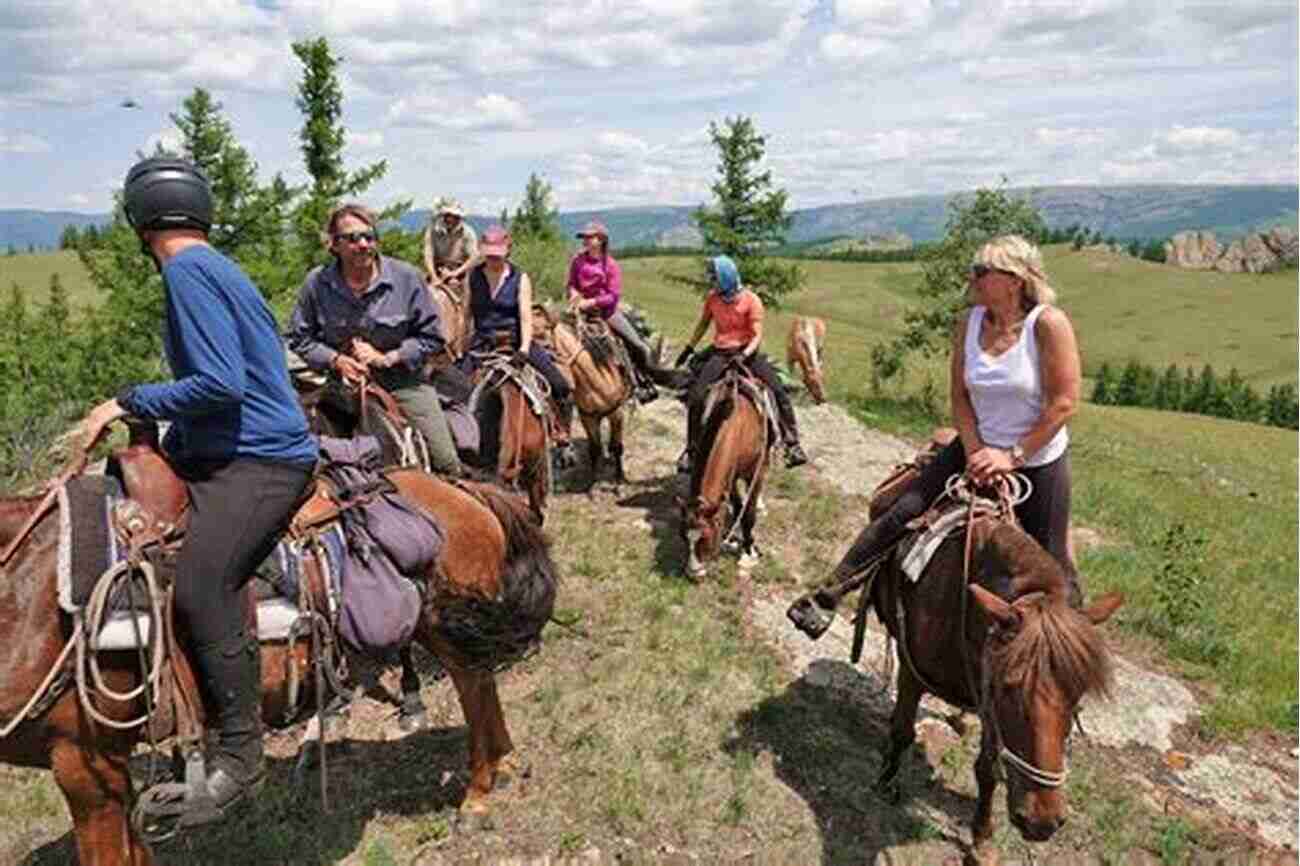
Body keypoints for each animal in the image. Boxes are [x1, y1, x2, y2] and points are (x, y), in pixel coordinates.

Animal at [0, 455, 553, 858]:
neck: (31, 592)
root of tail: (461, 489)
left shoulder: (87, 766)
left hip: (447, 624)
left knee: (474, 685)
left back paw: (478, 795)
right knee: (478, 685)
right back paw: (503, 764)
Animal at [681, 361, 769, 577]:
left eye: (706, 538)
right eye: (683, 536)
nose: (693, 573)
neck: (739, 427)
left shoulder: (755, 472)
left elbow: (749, 513)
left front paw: (749, 551)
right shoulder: (731, 477)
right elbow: (738, 507)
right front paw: (737, 539)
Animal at [868, 507, 1123, 858]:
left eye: (1079, 695)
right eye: (1008, 689)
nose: (1041, 822)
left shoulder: (988, 702)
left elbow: (988, 770)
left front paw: (982, 840)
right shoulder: (913, 672)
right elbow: (903, 731)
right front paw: (886, 782)